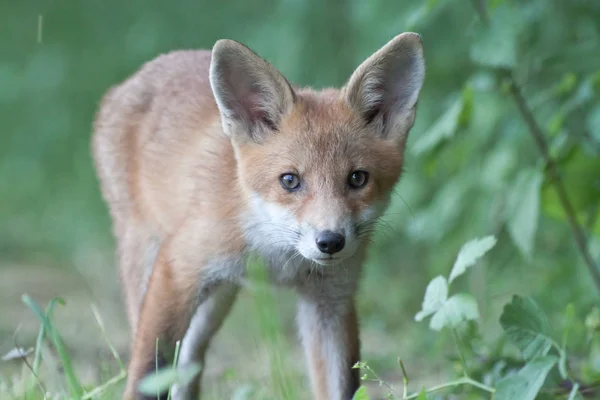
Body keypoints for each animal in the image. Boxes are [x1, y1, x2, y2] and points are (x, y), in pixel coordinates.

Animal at [91, 32, 424, 400]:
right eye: (289, 180)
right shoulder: (177, 270)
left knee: (188, 365)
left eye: (357, 178)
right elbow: (148, 373)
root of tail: (130, 80)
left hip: (216, 302)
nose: (330, 242)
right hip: (150, 267)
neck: (277, 258)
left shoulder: (331, 299)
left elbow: (340, 387)